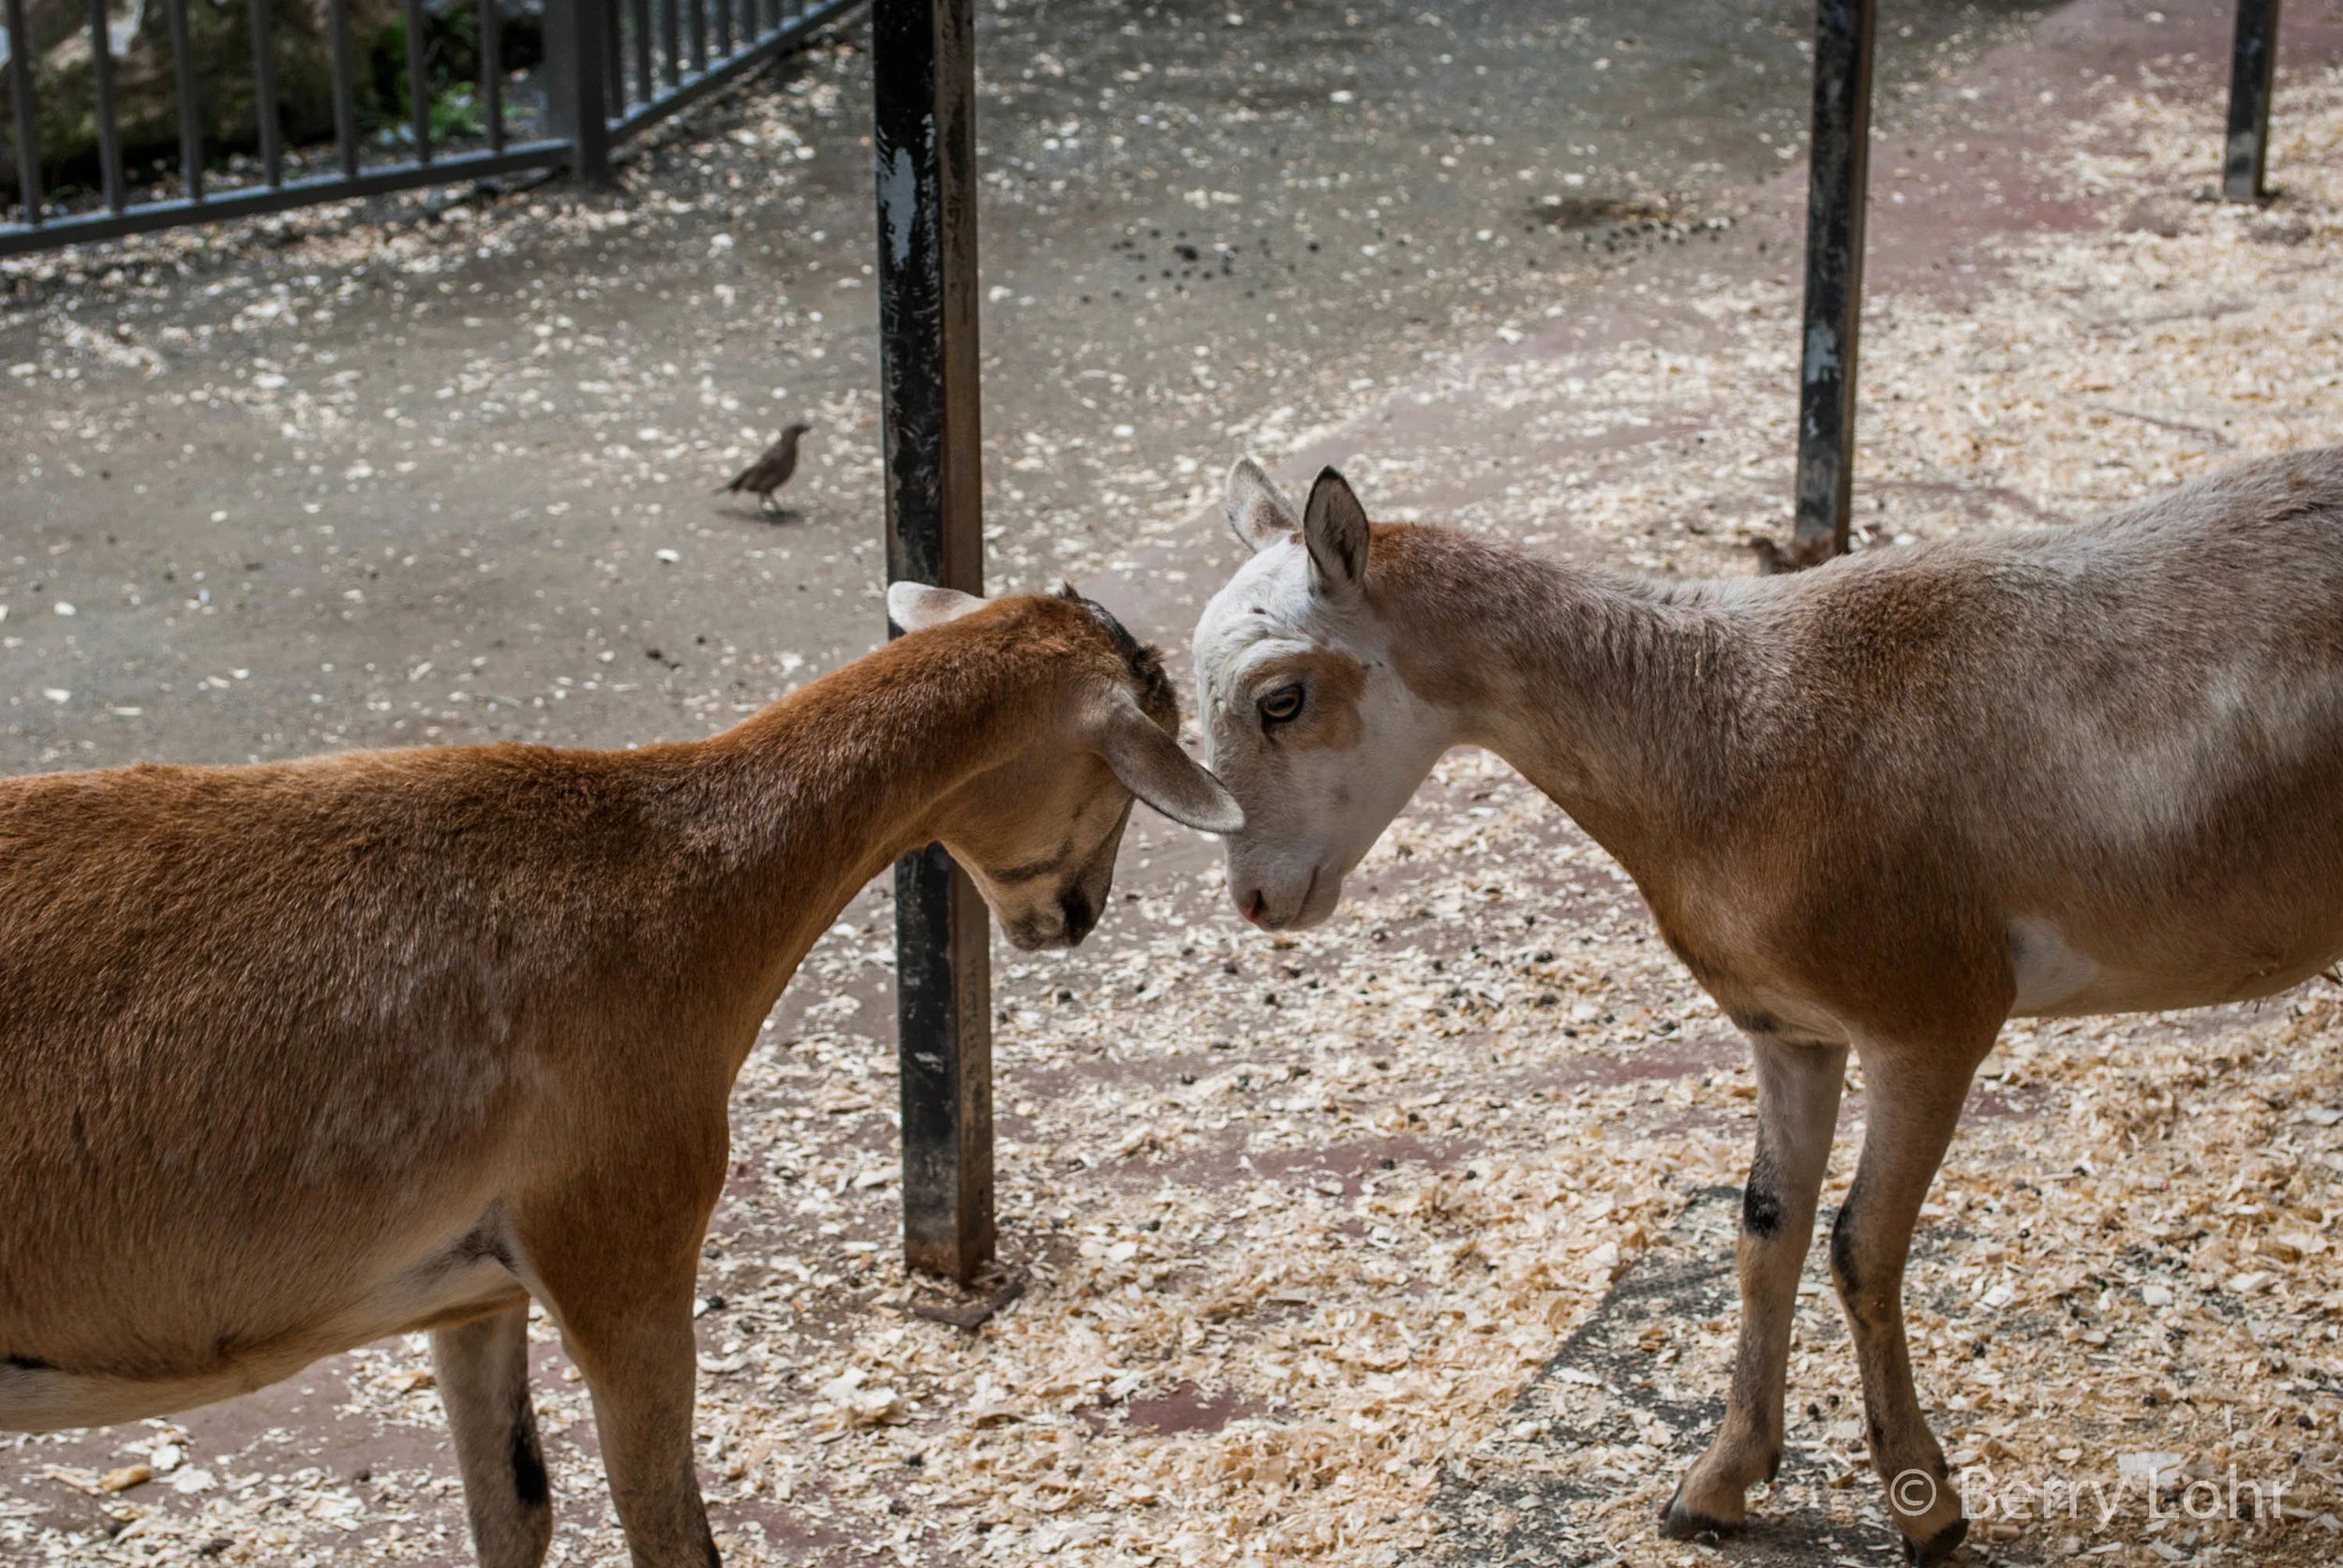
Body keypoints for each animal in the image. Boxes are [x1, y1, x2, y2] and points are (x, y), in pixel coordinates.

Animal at [0, 584, 1240, 1568]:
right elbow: (668, 1530)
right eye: (1125, 770)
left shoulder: (475, 1281)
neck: (672, 880)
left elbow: (517, 1510)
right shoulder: (620, 1235)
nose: (1073, 915)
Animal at [1190, 451, 2343, 1562]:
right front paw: (1715, 1486)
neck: (1720, 731)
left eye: (1282, 698)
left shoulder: (1929, 1017)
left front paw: (1927, 1509)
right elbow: (1763, 1234)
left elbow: (1859, 1244)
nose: (1256, 898)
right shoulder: (1790, 1032)